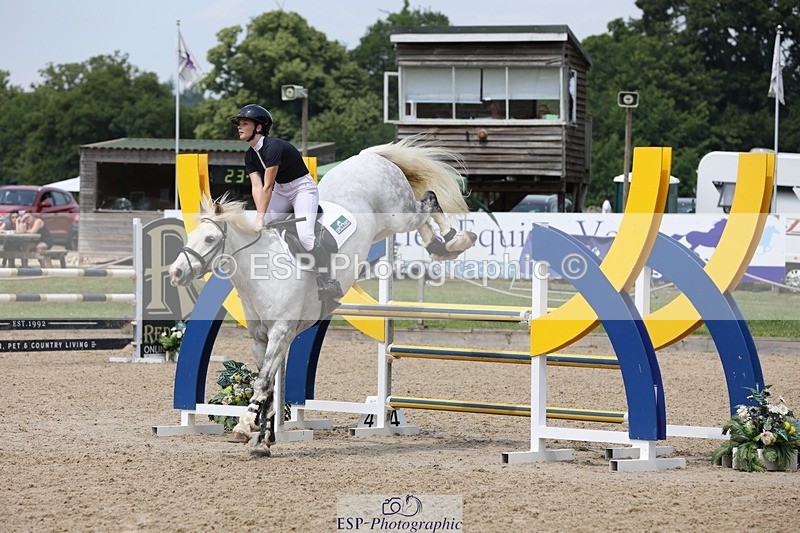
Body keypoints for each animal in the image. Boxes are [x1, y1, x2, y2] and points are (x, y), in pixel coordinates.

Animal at [168, 137, 477, 456]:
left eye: (209, 239)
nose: (176, 273)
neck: (262, 270)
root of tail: (367, 156)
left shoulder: (281, 332)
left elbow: (263, 383)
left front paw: (244, 428)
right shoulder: (261, 339)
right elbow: (269, 386)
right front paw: (263, 440)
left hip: (398, 212)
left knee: (427, 202)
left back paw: (457, 240)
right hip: (389, 225)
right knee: (423, 220)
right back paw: (440, 247)